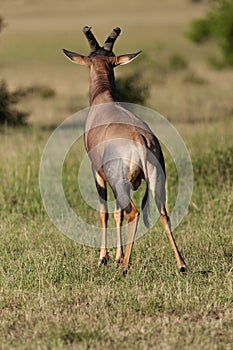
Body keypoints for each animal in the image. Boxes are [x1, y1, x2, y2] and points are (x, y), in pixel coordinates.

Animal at [62, 26, 186, 274]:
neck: (105, 100)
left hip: (119, 182)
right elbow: (117, 213)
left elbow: (105, 213)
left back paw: (126, 267)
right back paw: (181, 264)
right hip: (156, 180)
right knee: (164, 214)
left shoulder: (98, 173)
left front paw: (105, 258)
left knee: (133, 213)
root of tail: (139, 139)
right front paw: (117, 257)